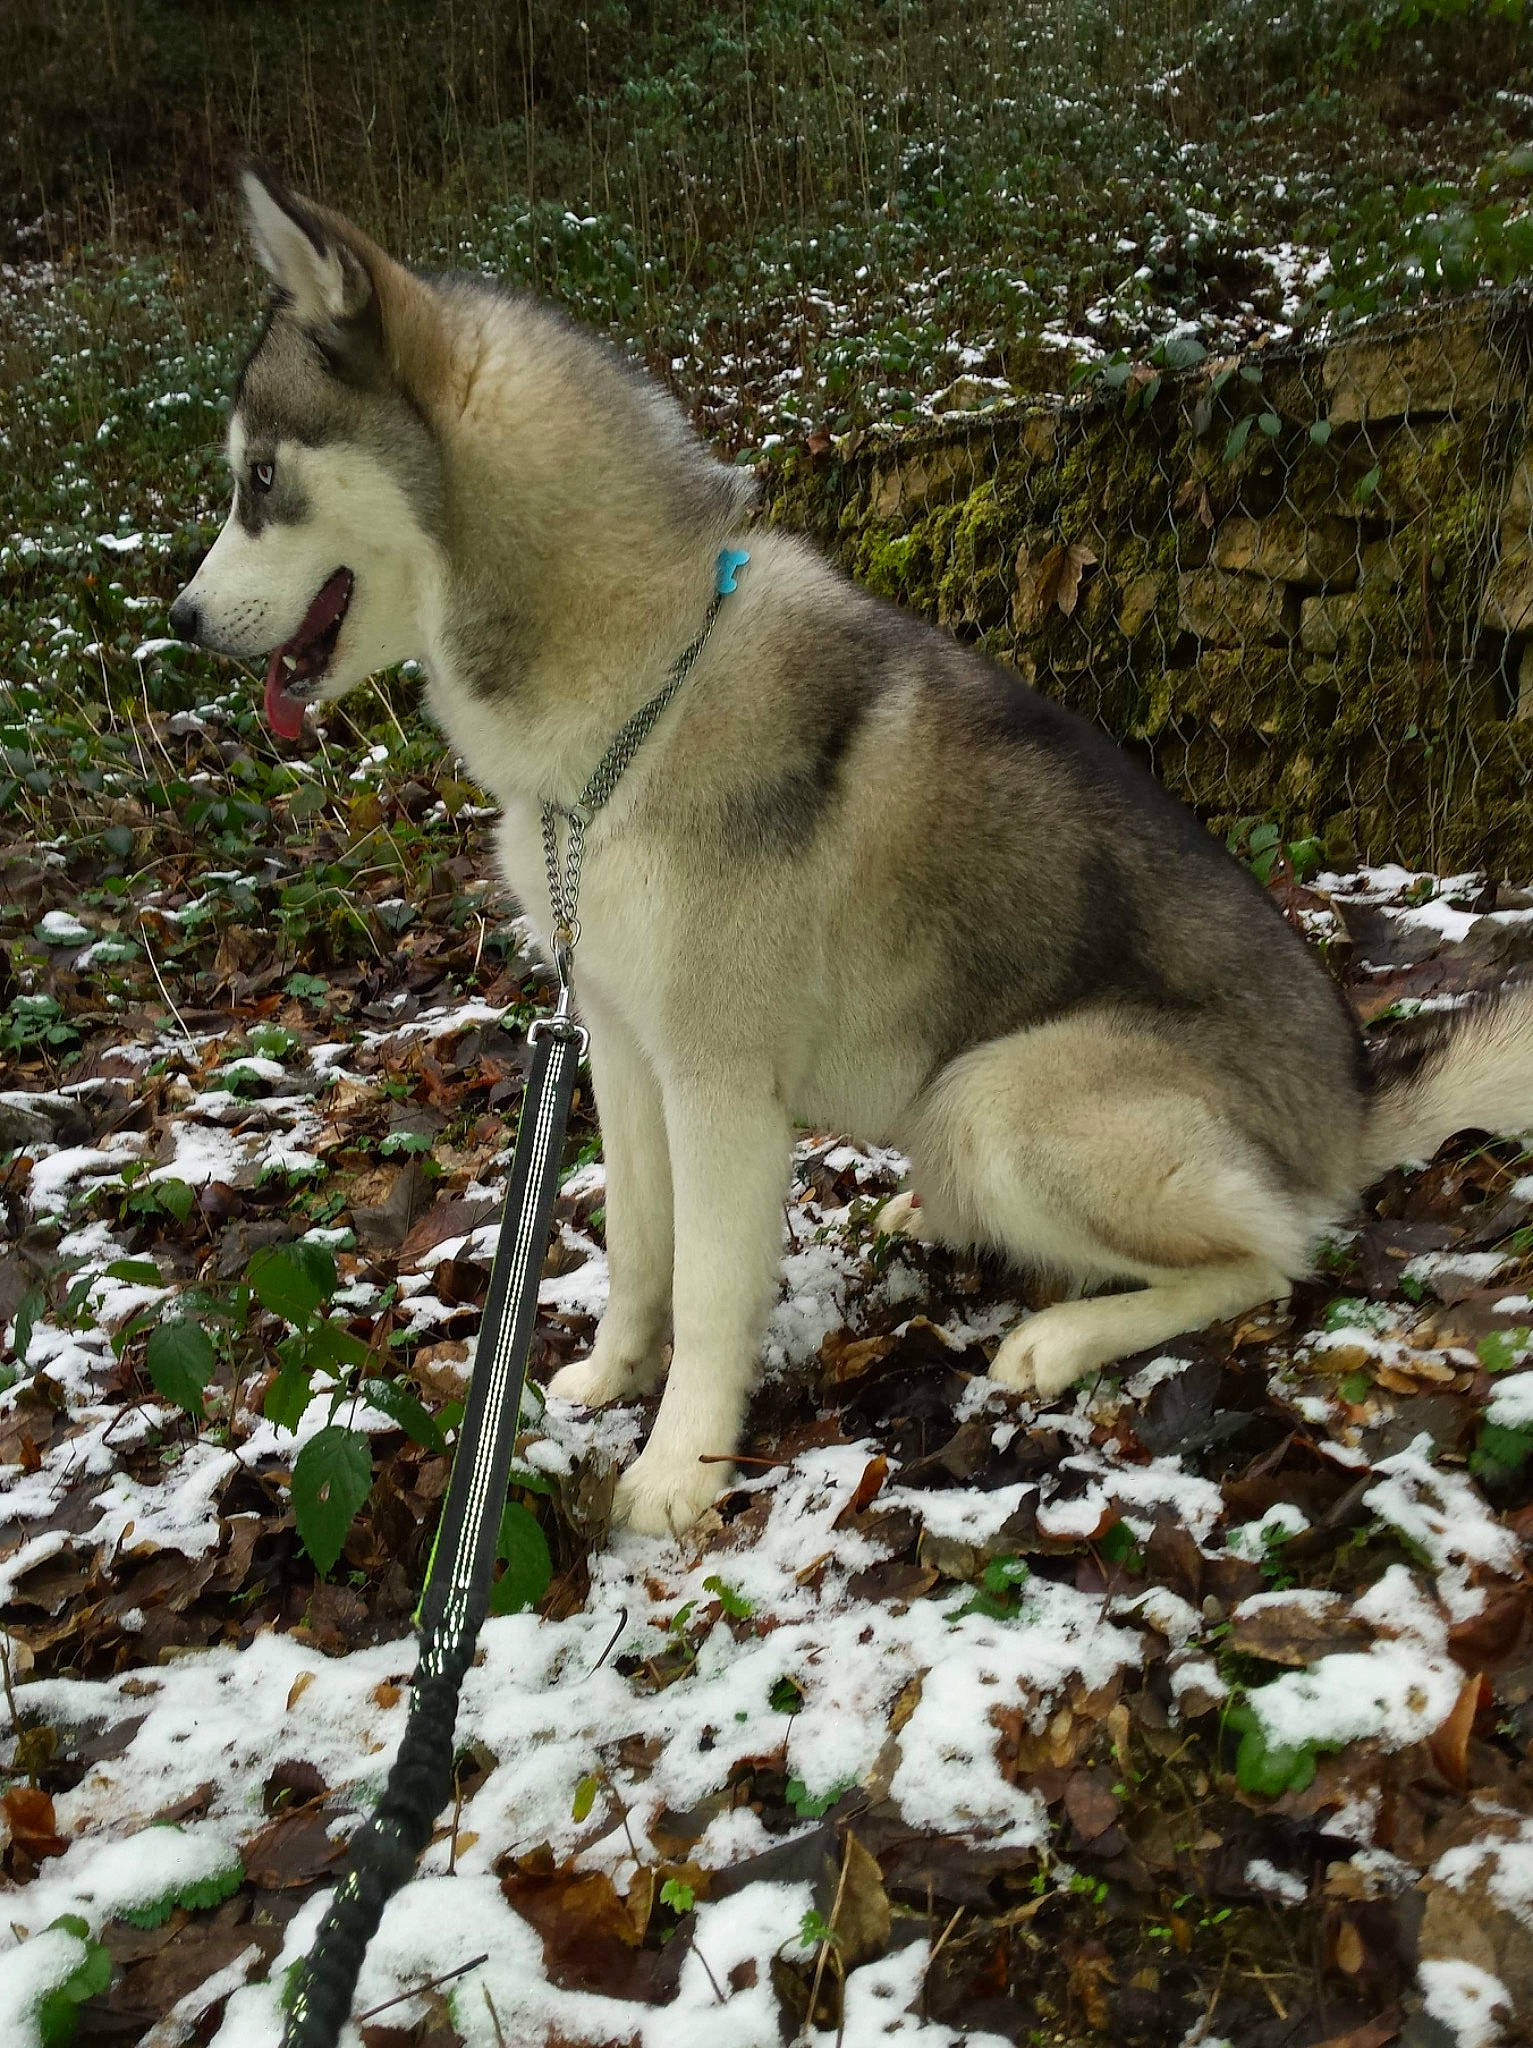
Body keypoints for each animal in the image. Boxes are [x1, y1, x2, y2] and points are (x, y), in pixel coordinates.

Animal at [171, 167, 1533, 1536]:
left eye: (259, 479)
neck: (636, 690)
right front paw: (609, 1378)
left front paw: (680, 1467)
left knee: (1277, 1252)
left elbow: (712, 1283)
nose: (176, 623)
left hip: (995, 1097)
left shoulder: (718, 1076)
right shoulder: (616, 1038)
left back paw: (1067, 1334)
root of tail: (1351, 1102)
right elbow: (640, 1244)